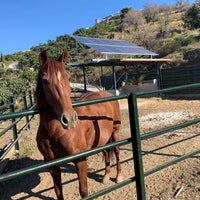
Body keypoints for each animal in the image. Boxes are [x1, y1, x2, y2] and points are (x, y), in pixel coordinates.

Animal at [35, 48, 122, 200]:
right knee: (106, 153)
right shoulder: (53, 165)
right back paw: (106, 176)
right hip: (103, 139)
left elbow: (83, 191)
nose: (69, 119)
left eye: (68, 77)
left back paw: (118, 177)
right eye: (45, 80)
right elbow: (58, 191)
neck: (55, 132)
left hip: (115, 133)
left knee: (116, 152)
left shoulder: (80, 160)